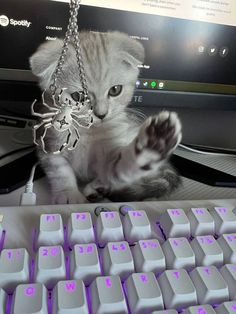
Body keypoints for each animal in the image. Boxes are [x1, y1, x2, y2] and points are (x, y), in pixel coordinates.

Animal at [30, 31, 183, 204]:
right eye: (78, 96)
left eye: (115, 90)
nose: (101, 114)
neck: (87, 133)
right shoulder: (47, 143)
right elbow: (59, 170)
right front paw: (69, 195)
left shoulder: (109, 158)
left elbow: (120, 169)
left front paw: (154, 143)